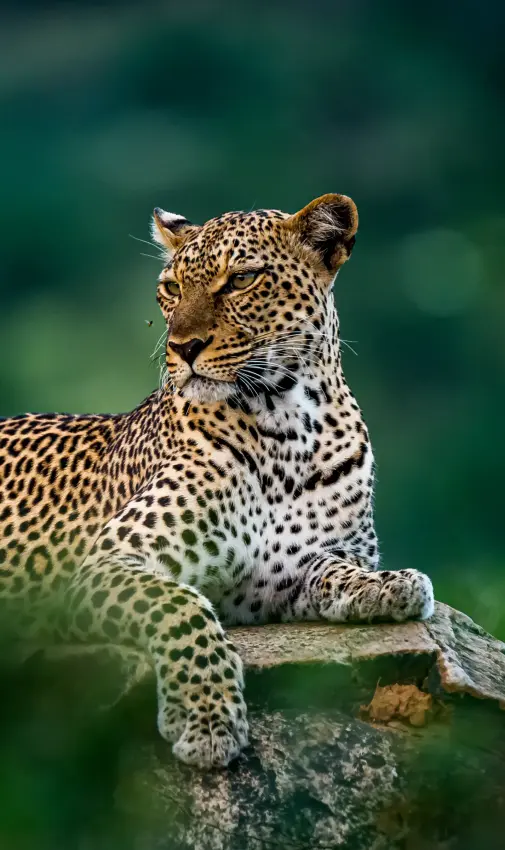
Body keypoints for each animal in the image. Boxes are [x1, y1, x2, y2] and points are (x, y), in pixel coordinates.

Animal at [0, 193, 434, 769]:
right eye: (171, 287)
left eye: (242, 279)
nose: (183, 347)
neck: (287, 426)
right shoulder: (109, 563)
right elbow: (181, 608)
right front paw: (206, 718)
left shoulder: (288, 578)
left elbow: (336, 570)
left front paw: (390, 585)